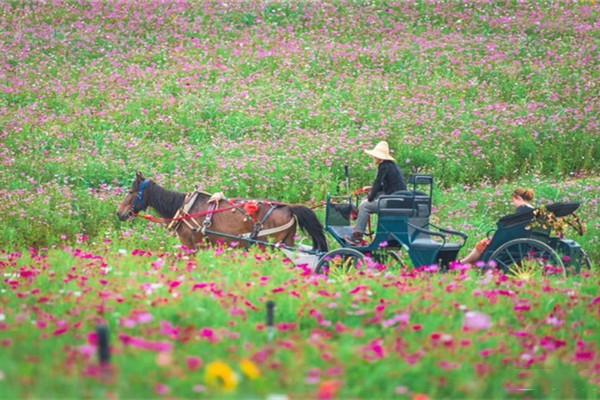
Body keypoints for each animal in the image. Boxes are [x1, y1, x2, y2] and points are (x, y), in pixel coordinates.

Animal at [115, 170, 326, 252]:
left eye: (131, 192)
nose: (119, 213)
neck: (185, 209)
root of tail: (289, 207)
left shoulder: (190, 244)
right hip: (286, 242)